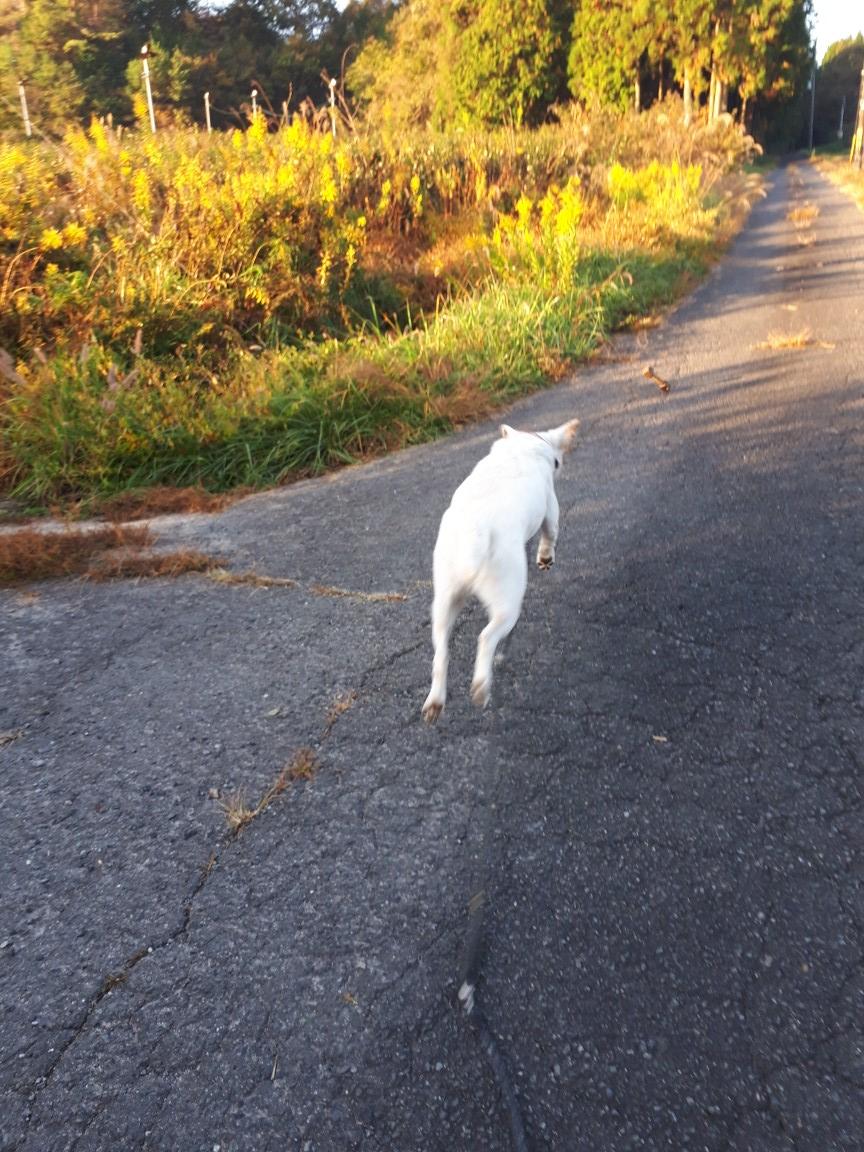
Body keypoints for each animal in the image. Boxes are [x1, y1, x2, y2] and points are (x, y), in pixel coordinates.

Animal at [421, 419, 579, 722]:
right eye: (557, 461)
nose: (561, 465)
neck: (522, 446)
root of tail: (476, 531)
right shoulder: (551, 509)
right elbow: (550, 534)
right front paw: (545, 558)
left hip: (444, 601)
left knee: (441, 653)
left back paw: (435, 702)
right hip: (508, 601)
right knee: (486, 638)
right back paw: (481, 688)